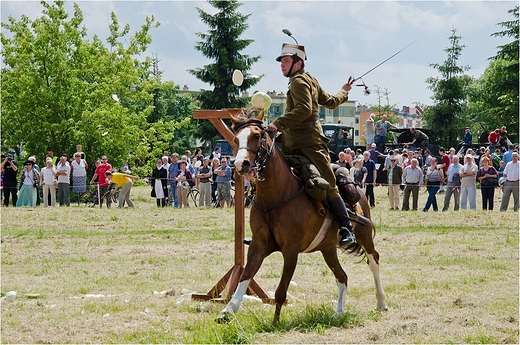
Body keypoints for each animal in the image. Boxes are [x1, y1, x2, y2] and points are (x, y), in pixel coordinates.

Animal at [217, 112, 388, 322]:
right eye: (235, 139)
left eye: (256, 136)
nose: (241, 164)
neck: (276, 196)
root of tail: (358, 189)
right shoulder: (258, 246)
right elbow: (245, 276)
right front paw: (228, 310)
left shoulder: (291, 251)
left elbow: (281, 291)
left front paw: (275, 322)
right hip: (328, 248)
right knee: (342, 277)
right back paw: (338, 312)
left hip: (364, 236)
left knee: (373, 261)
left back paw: (381, 302)